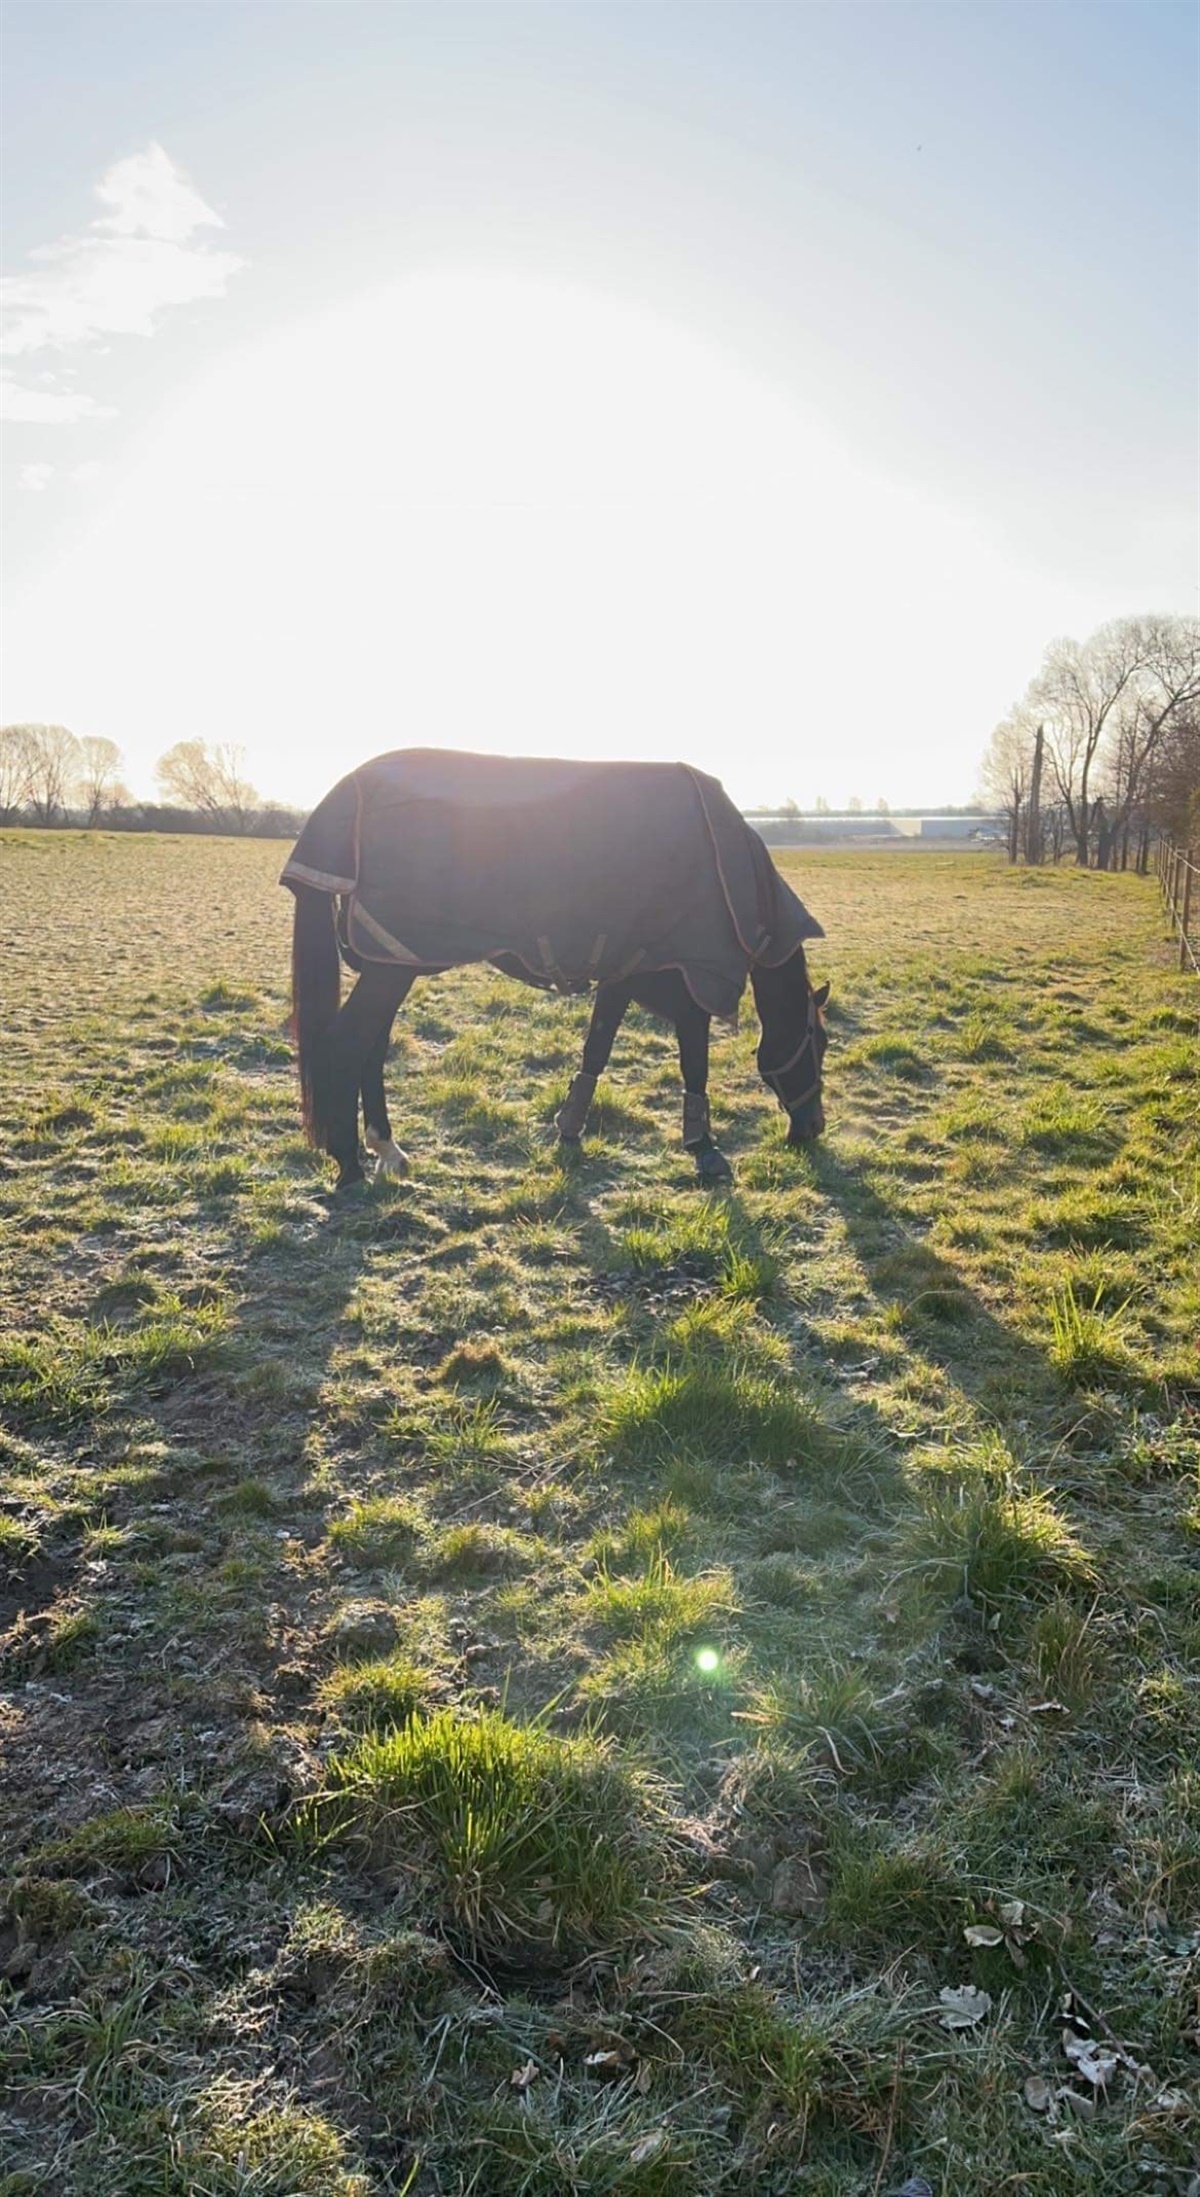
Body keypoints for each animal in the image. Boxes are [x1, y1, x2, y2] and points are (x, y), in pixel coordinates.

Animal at [283, 749, 829, 1190]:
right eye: (818, 1042)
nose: (813, 1129)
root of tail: (347, 791)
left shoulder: (624, 974)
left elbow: (597, 1051)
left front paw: (569, 1130)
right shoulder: (689, 975)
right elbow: (692, 1061)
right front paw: (704, 1146)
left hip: (394, 962)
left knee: (371, 1047)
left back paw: (386, 1151)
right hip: (392, 967)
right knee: (350, 1043)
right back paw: (349, 1162)